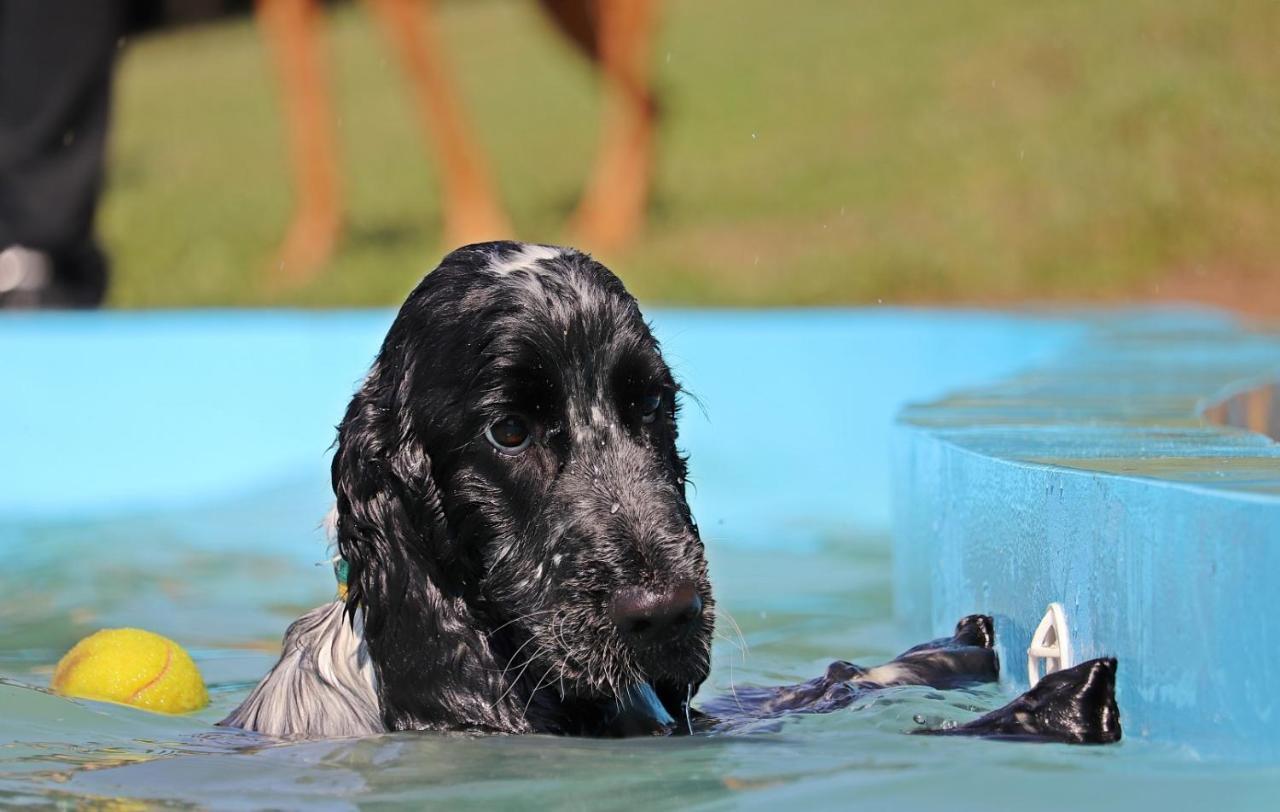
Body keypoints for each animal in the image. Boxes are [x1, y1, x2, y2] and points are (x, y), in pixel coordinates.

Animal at [259, 0, 660, 281]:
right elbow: (305, 112)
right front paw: (305, 255)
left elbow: (432, 95)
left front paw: (474, 225)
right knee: (654, 101)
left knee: (635, 97)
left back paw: (610, 223)